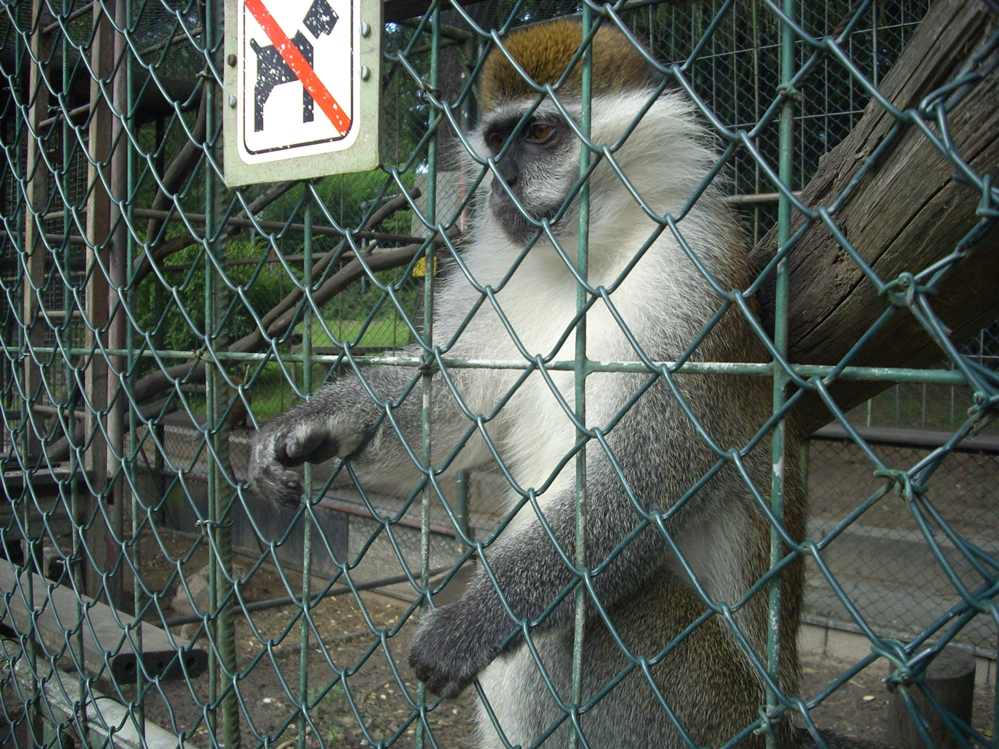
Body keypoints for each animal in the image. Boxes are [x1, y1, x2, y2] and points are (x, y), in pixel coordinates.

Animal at [248, 17, 876, 748]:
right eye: (498, 141)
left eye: (543, 134)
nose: (501, 183)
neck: (584, 261)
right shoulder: (495, 274)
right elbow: (458, 412)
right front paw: (316, 424)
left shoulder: (689, 275)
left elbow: (645, 482)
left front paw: (478, 620)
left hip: (705, 708)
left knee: (570, 630)